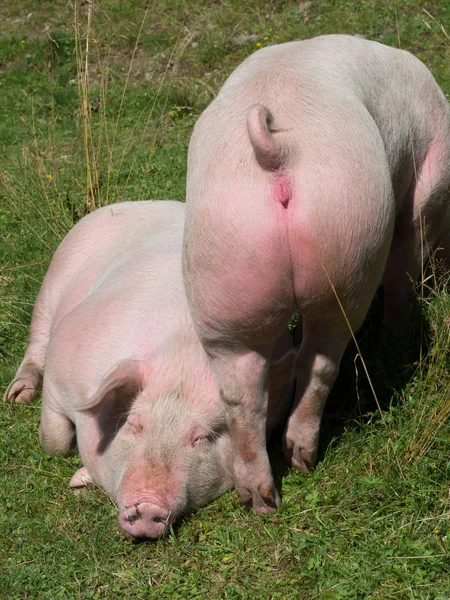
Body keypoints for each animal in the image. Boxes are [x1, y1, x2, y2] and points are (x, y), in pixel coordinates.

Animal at [4, 198, 298, 540]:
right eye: (134, 423)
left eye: (201, 437)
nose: (147, 506)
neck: (182, 356)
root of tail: (140, 202)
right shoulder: (60, 369)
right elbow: (54, 442)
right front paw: (75, 478)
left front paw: (79, 479)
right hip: (54, 278)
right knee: (37, 339)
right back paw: (16, 396)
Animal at [182, 35, 450, 516]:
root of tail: (278, 151)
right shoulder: (429, 185)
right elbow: (407, 260)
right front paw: (397, 334)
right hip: (350, 239)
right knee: (322, 358)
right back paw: (302, 458)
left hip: (221, 273)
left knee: (241, 392)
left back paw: (260, 500)